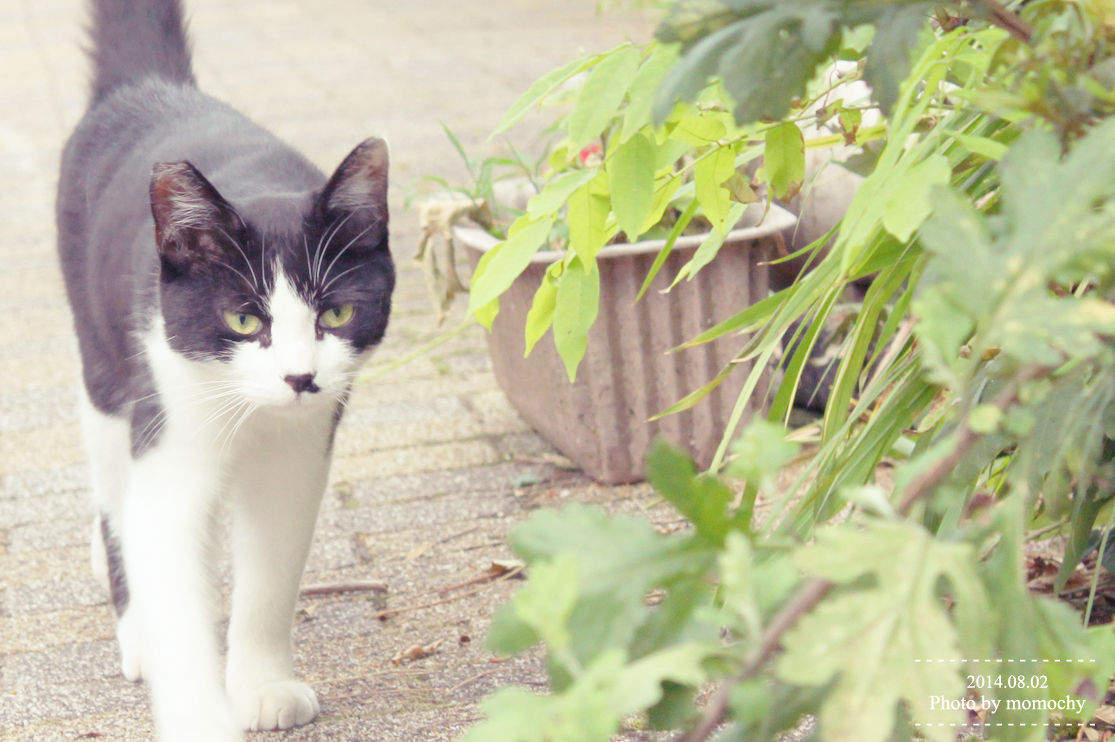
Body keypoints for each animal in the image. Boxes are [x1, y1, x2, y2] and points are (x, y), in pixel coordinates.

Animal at [58, 2, 396, 736]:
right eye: (244, 321)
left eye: (336, 313)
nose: (300, 378)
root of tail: (148, 86)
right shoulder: (169, 414)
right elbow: (164, 551)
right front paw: (196, 711)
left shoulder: (300, 450)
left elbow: (270, 570)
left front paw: (262, 685)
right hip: (102, 370)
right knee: (115, 499)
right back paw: (134, 626)